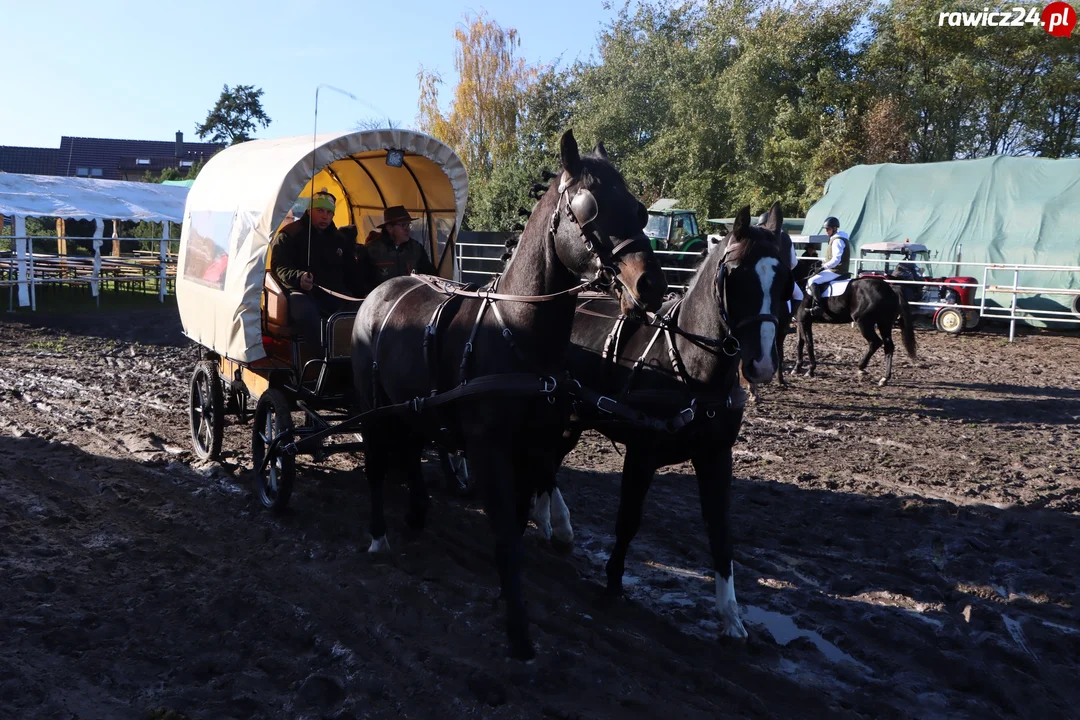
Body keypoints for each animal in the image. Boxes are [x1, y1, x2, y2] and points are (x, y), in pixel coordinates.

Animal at [349, 131, 665, 664]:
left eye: (640, 209)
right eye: (590, 208)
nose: (651, 285)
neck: (518, 332)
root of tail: (380, 290)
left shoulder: (534, 449)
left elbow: (516, 525)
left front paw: (507, 601)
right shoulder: (491, 450)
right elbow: (503, 533)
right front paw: (518, 632)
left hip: (412, 406)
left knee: (409, 453)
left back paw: (416, 512)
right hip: (374, 407)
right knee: (375, 465)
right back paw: (376, 536)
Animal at [535, 201, 790, 634]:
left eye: (785, 279)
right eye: (736, 275)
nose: (762, 364)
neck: (692, 370)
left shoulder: (715, 457)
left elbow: (720, 531)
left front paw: (730, 615)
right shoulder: (642, 455)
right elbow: (629, 519)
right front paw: (613, 584)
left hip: (572, 417)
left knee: (548, 460)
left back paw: (553, 523)